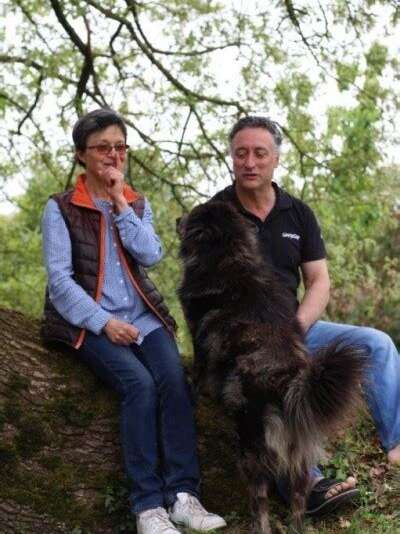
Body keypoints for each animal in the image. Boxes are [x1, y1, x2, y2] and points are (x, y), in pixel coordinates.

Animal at [178, 202, 366, 534]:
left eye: (191, 216)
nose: (177, 219)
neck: (229, 255)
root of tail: (288, 382)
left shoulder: (197, 331)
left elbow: (201, 367)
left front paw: (197, 387)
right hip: (299, 456)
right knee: (298, 501)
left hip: (251, 444)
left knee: (260, 499)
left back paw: (259, 524)